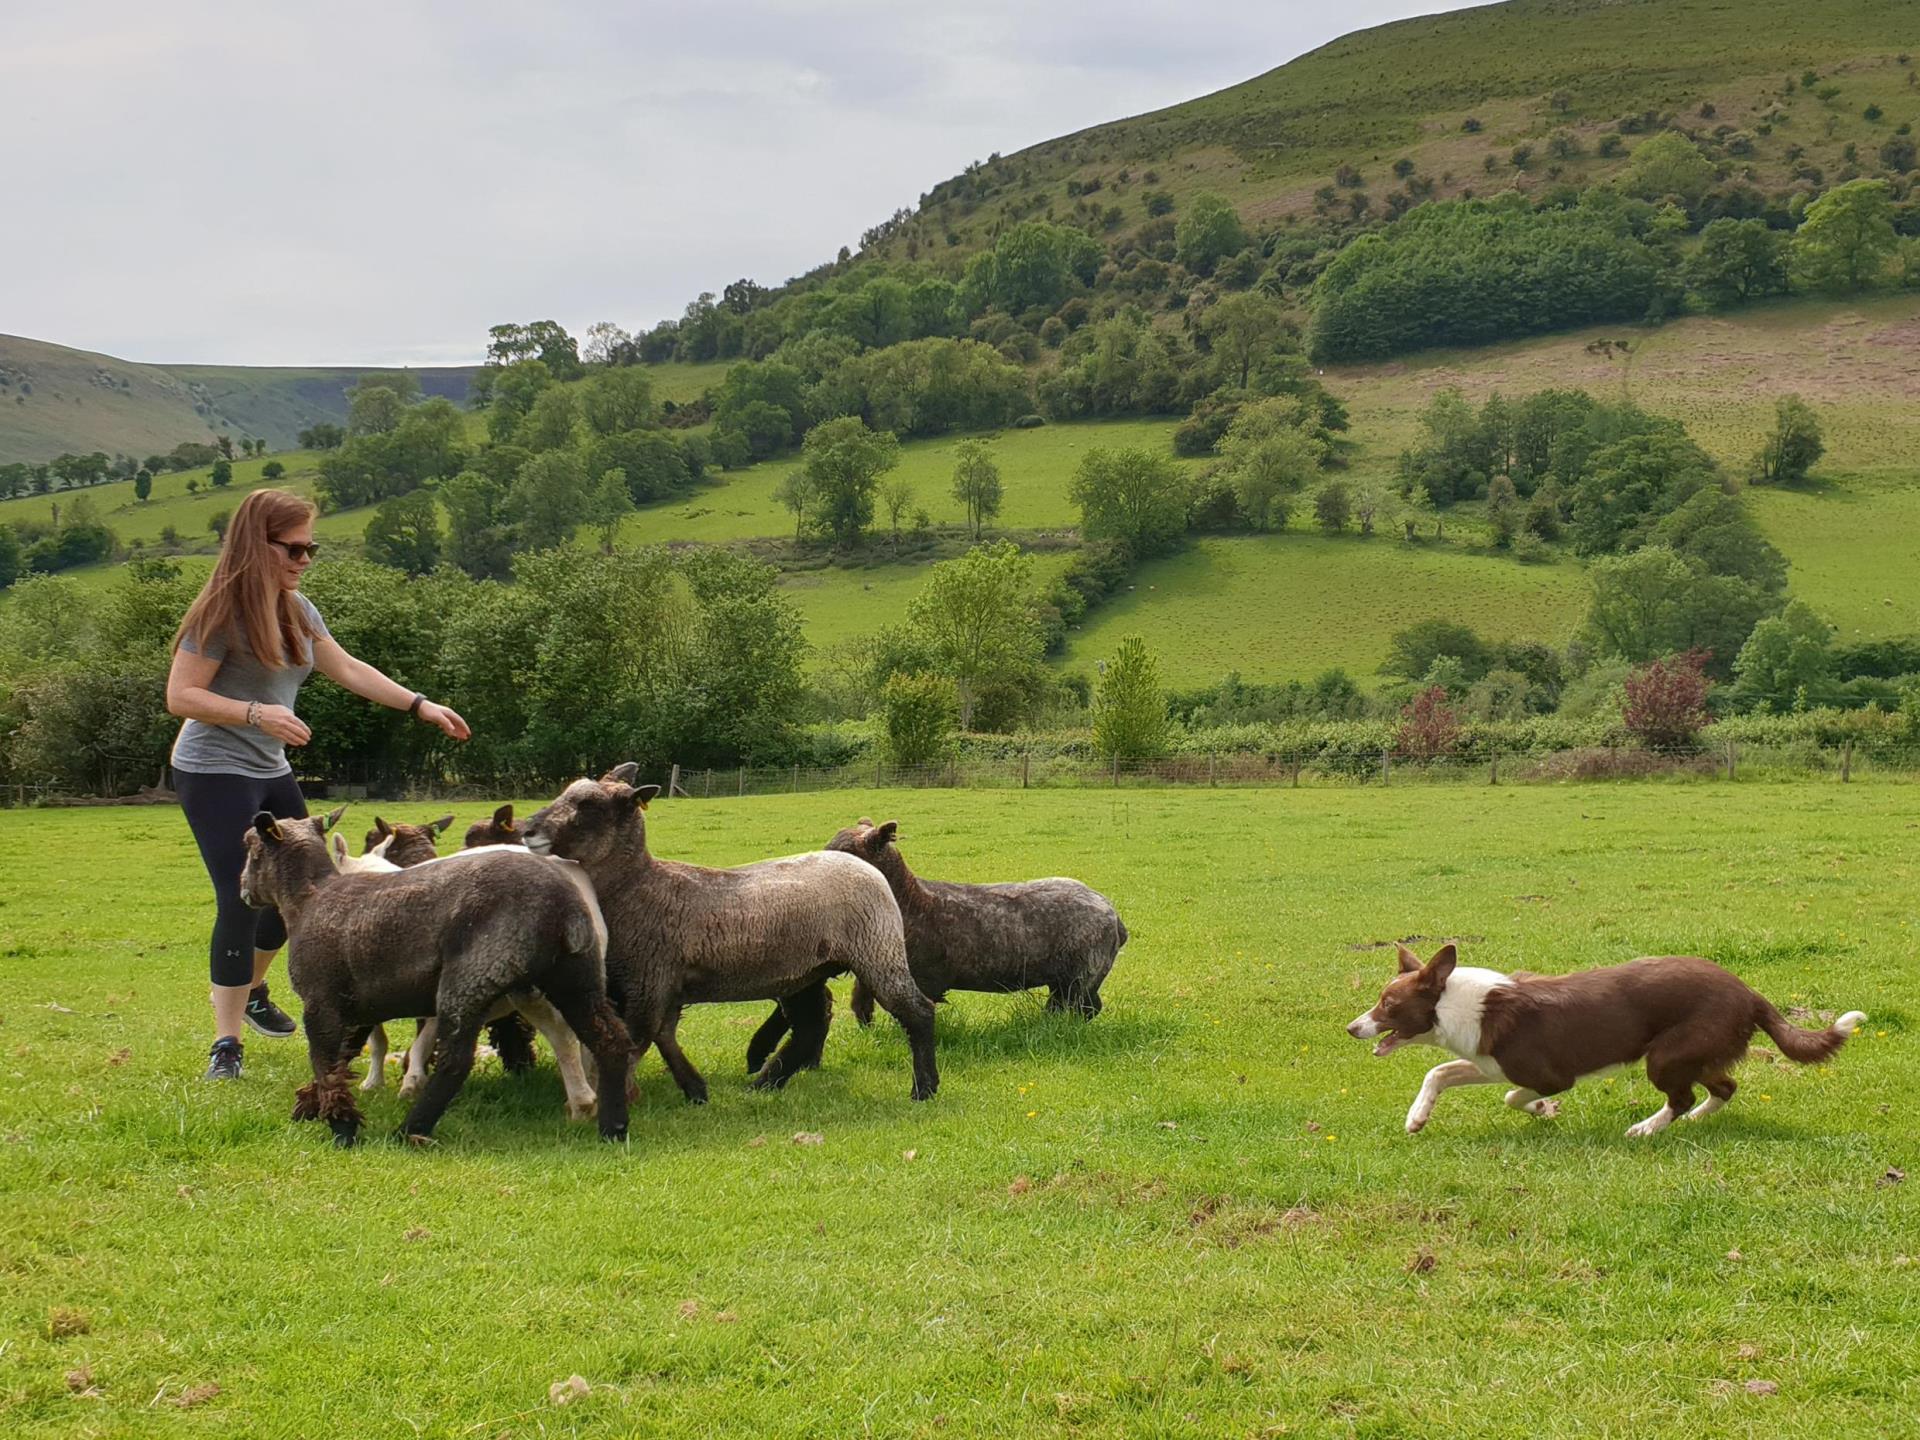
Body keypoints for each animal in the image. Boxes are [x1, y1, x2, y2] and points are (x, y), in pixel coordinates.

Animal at [237, 814, 633, 1152]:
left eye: (251, 850)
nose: (243, 891)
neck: (308, 898)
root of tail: (564, 905)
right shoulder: (357, 1007)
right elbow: (345, 1057)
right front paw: (314, 1106)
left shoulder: (322, 1002)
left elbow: (328, 1065)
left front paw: (342, 1128)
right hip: (573, 975)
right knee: (608, 1040)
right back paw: (612, 1127)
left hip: (471, 975)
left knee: (456, 1060)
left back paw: (412, 1130)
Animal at [518, 768, 936, 1105]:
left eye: (588, 805)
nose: (526, 830)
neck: (638, 887)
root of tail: (869, 869)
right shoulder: (660, 985)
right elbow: (664, 1036)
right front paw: (695, 1090)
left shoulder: (649, 980)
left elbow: (639, 1041)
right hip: (807, 971)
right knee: (810, 1026)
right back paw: (766, 1083)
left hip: (876, 948)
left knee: (917, 1011)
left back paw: (925, 1089)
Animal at [737, 817, 1121, 1075]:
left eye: (846, 852)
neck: (910, 901)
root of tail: (1114, 916)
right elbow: (861, 1004)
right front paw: (868, 1032)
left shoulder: (915, 974)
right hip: (1069, 980)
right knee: (1081, 1007)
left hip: (1081, 975)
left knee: (1080, 1009)